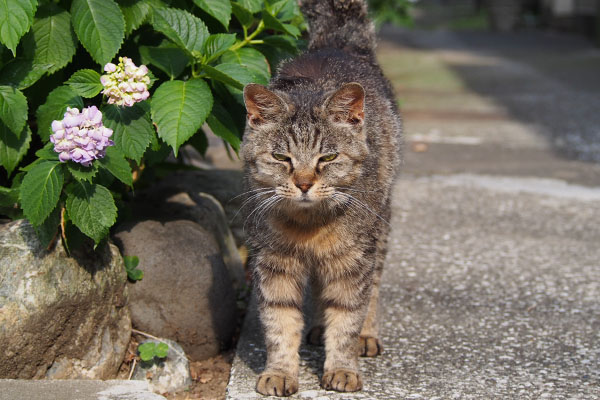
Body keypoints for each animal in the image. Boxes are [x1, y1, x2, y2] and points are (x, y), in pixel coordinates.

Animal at [241, 0, 400, 394]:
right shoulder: (273, 263)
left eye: (327, 158)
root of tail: (336, 44)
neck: (308, 225)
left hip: (381, 229)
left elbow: (347, 317)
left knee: (372, 288)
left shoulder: (354, 262)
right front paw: (280, 372)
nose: (303, 183)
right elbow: (280, 322)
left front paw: (343, 367)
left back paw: (367, 335)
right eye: (281, 157)